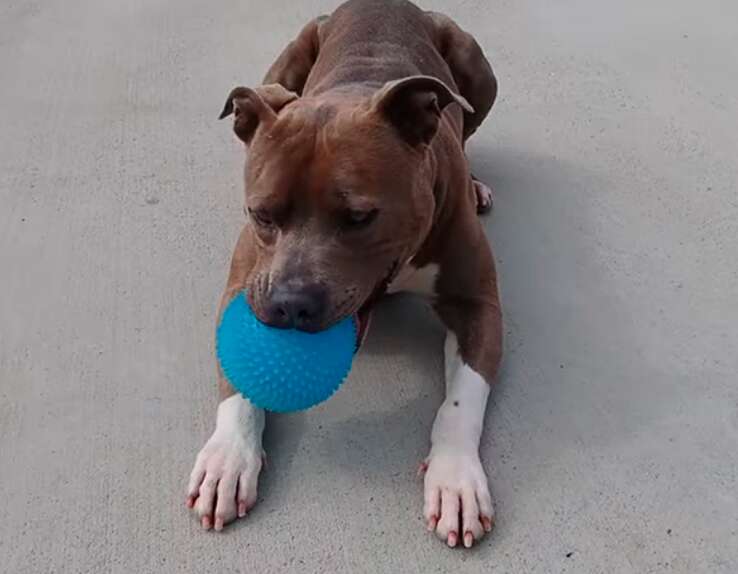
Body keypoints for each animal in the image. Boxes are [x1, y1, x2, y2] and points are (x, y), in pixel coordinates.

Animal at [187, 0, 504, 552]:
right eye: (261, 214)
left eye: (359, 217)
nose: (290, 304)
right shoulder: (246, 284)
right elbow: (238, 376)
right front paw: (227, 456)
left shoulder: (477, 303)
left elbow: (462, 398)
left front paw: (456, 478)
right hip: (285, 65)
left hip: (476, 66)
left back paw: (476, 181)